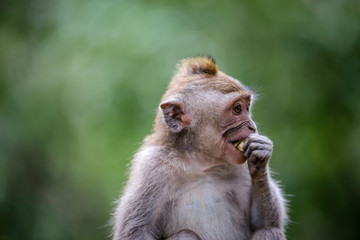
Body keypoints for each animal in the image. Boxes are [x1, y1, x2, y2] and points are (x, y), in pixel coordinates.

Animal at [112, 56, 286, 240]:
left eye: (247, 107)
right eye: (237, 109)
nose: (253, 127)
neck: (200, 161)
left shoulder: (240, 166)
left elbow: (263, 223)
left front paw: (261, 157)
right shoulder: (153, 166)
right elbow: (136, 232)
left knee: (270, 231)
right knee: (186, 235)